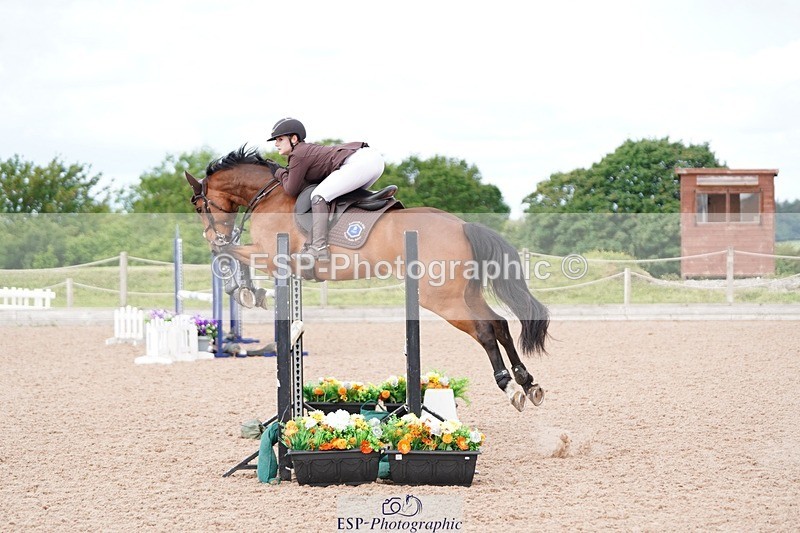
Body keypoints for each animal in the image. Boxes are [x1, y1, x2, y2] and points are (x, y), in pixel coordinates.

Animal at [185, 146, 549, 411]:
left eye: (199, 206)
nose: (210, 234)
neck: (268, 194)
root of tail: (462, 225)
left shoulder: (270, 256)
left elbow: (228, 252)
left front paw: (244, 290)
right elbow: (231, 252)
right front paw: (248, 290)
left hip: (441, 299)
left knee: (485, 330)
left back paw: (509, 386)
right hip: (465, 293)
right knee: (500, 324)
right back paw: (528, 382)